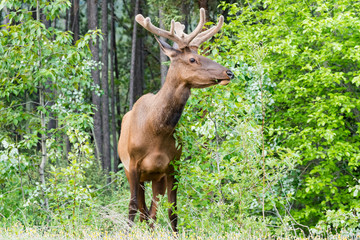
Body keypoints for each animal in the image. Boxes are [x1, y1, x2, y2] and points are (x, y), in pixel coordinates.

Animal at [118, 8, 233, 232]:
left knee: (151, 213)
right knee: (143, 209)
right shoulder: (134, 165)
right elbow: (133, 206)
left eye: (200, 54)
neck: (156, 130)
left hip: (157, 179)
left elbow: (173, 211)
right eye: (192, 59)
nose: (229, 72)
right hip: (133, 173)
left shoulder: (173, 165)